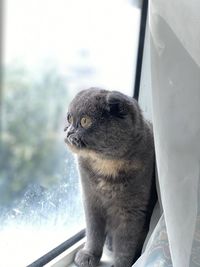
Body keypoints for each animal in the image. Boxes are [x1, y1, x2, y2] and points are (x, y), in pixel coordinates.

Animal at [64, 88, 156, 267]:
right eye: (69, 118)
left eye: (85, 121)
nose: (69, 131)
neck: (106, 164)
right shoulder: (90, 199)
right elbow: (93, 232)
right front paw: (88, 255)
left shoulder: (131, 211)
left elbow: (125, 243)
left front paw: (120, 264)